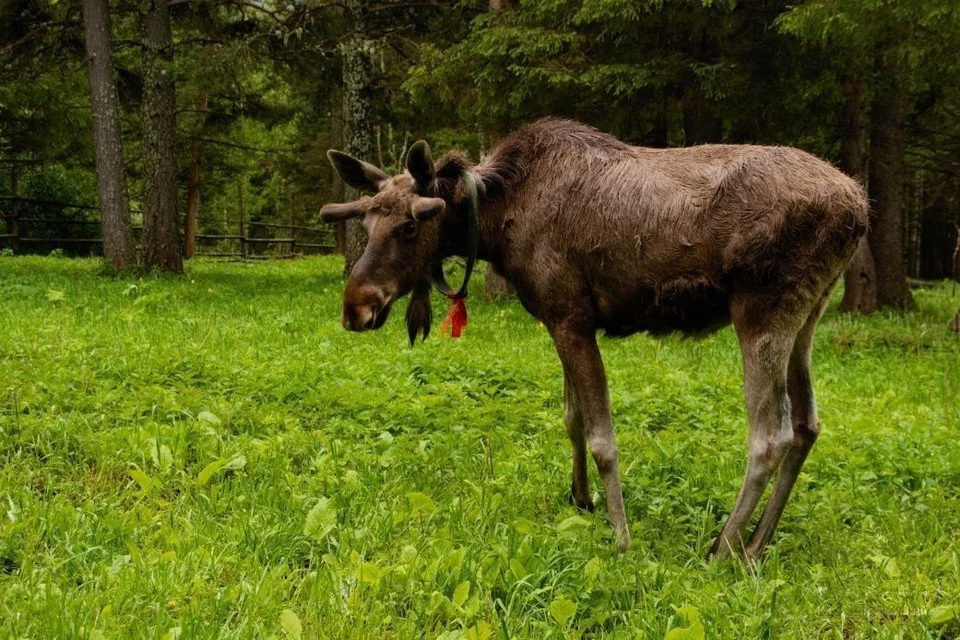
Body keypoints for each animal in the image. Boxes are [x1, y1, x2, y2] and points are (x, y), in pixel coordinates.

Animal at [319, 118, 868, 560]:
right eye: (366, 220)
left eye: (410, 227)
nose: (356, 307)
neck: (494, 223)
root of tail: (860, 209)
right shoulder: (561, 321)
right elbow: (572, 419)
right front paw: (580, 500)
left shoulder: (572, 319)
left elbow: (603, 438)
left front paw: (622, 538)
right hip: (807, 317)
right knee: (808, 425)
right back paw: (757, 544)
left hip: (762, 311)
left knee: (770, 436)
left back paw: (725, 547)